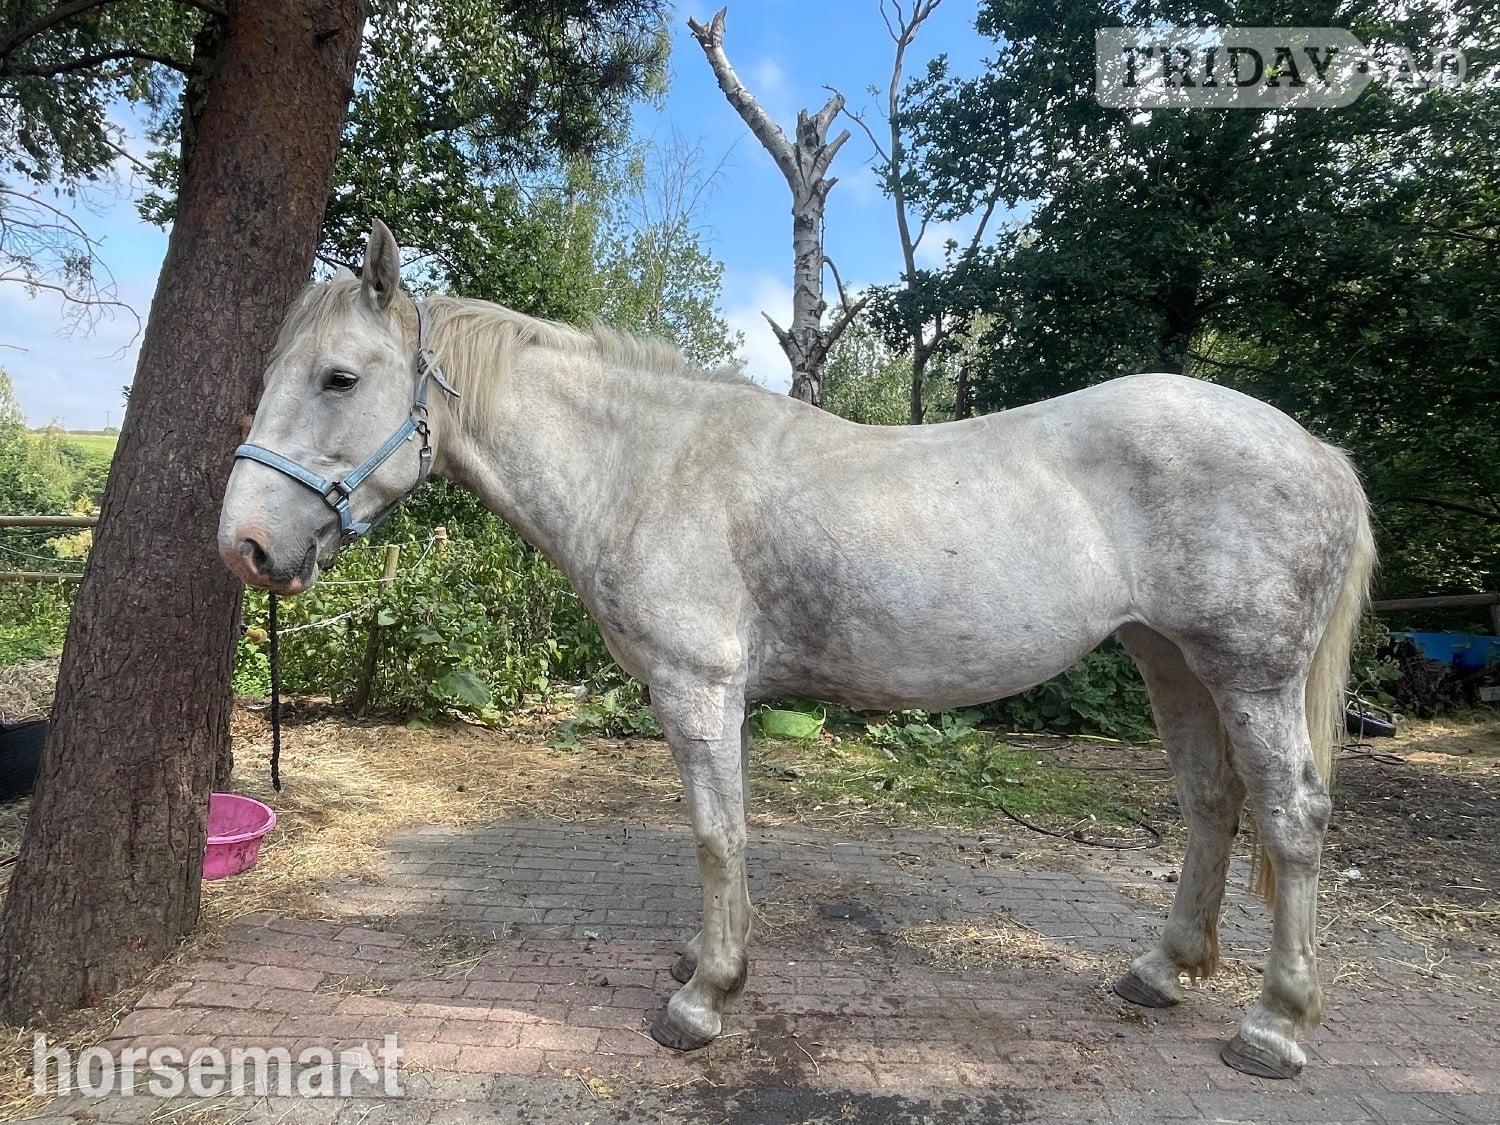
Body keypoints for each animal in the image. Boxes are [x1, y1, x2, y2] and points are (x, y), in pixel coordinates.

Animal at [219, 219, 1375, 1080]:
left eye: (337, 378)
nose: (246, 544)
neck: (648, 465)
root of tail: (1316, 447)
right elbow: (724, 835)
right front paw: (708, 960)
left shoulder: (698, 689)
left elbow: (717, 834)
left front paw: (702, 998)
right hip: (1169, 660)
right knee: (1210, 805)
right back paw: (1161, 971)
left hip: (1250, 672)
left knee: (1291, 817)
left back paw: (1274, 1025)